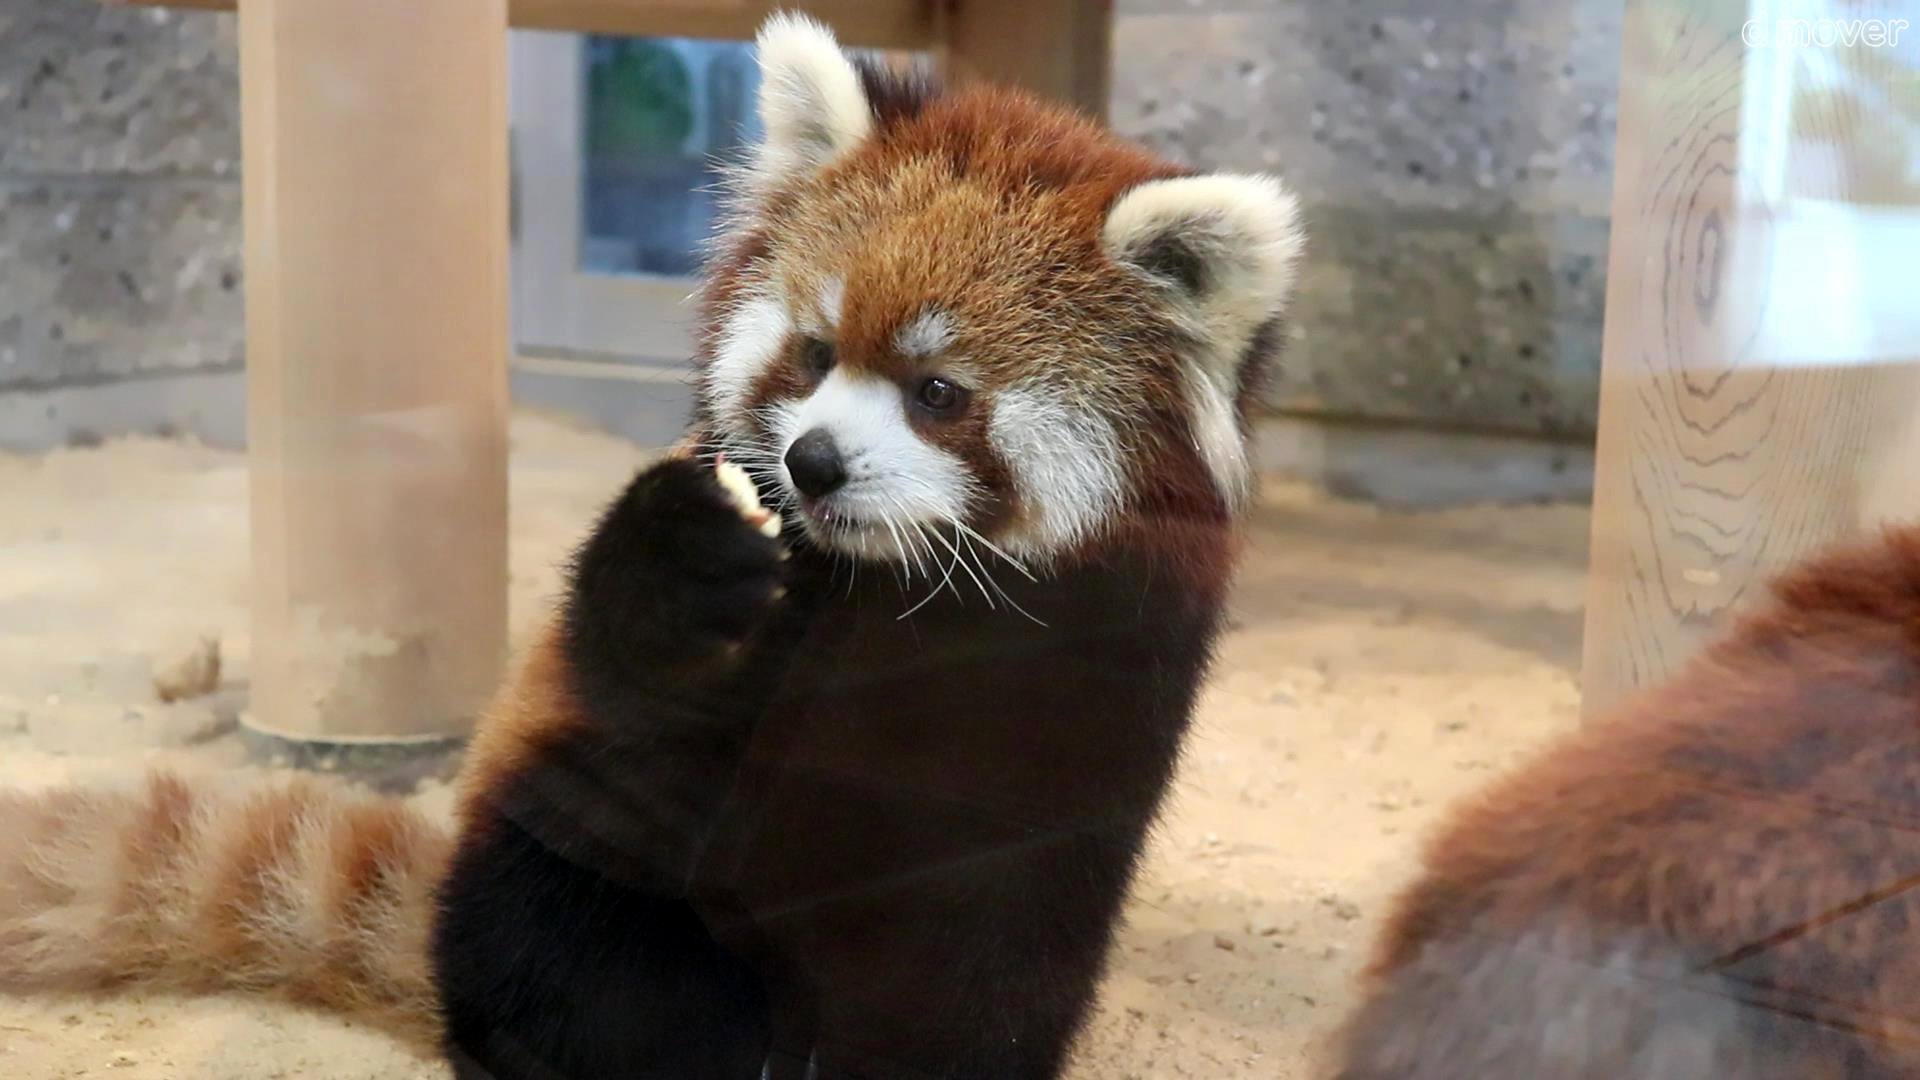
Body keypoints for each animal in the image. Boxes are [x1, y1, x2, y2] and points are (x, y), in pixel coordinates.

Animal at [0, 14, 1305, 1076]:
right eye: (815, 354)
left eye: (939, 394)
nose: (813, 463)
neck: (907, 595)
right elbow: (638, 664)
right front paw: (690, 558)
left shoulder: (1087, 707)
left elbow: (980, 955)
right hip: (556, 865)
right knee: (589, 949)